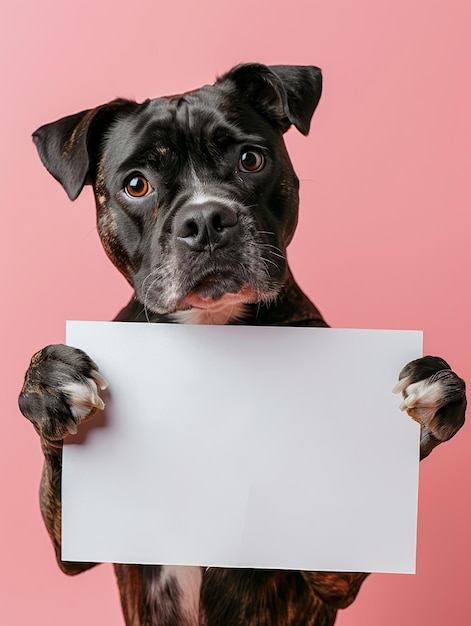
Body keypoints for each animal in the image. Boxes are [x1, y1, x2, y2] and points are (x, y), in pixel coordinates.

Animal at [19, 64, 468, 624]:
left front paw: (425, 403)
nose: (205, 219)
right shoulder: (75, 549)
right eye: (136, 185)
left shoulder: (333, 577)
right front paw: (50, 383)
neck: (214, 326)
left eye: (250, 159)